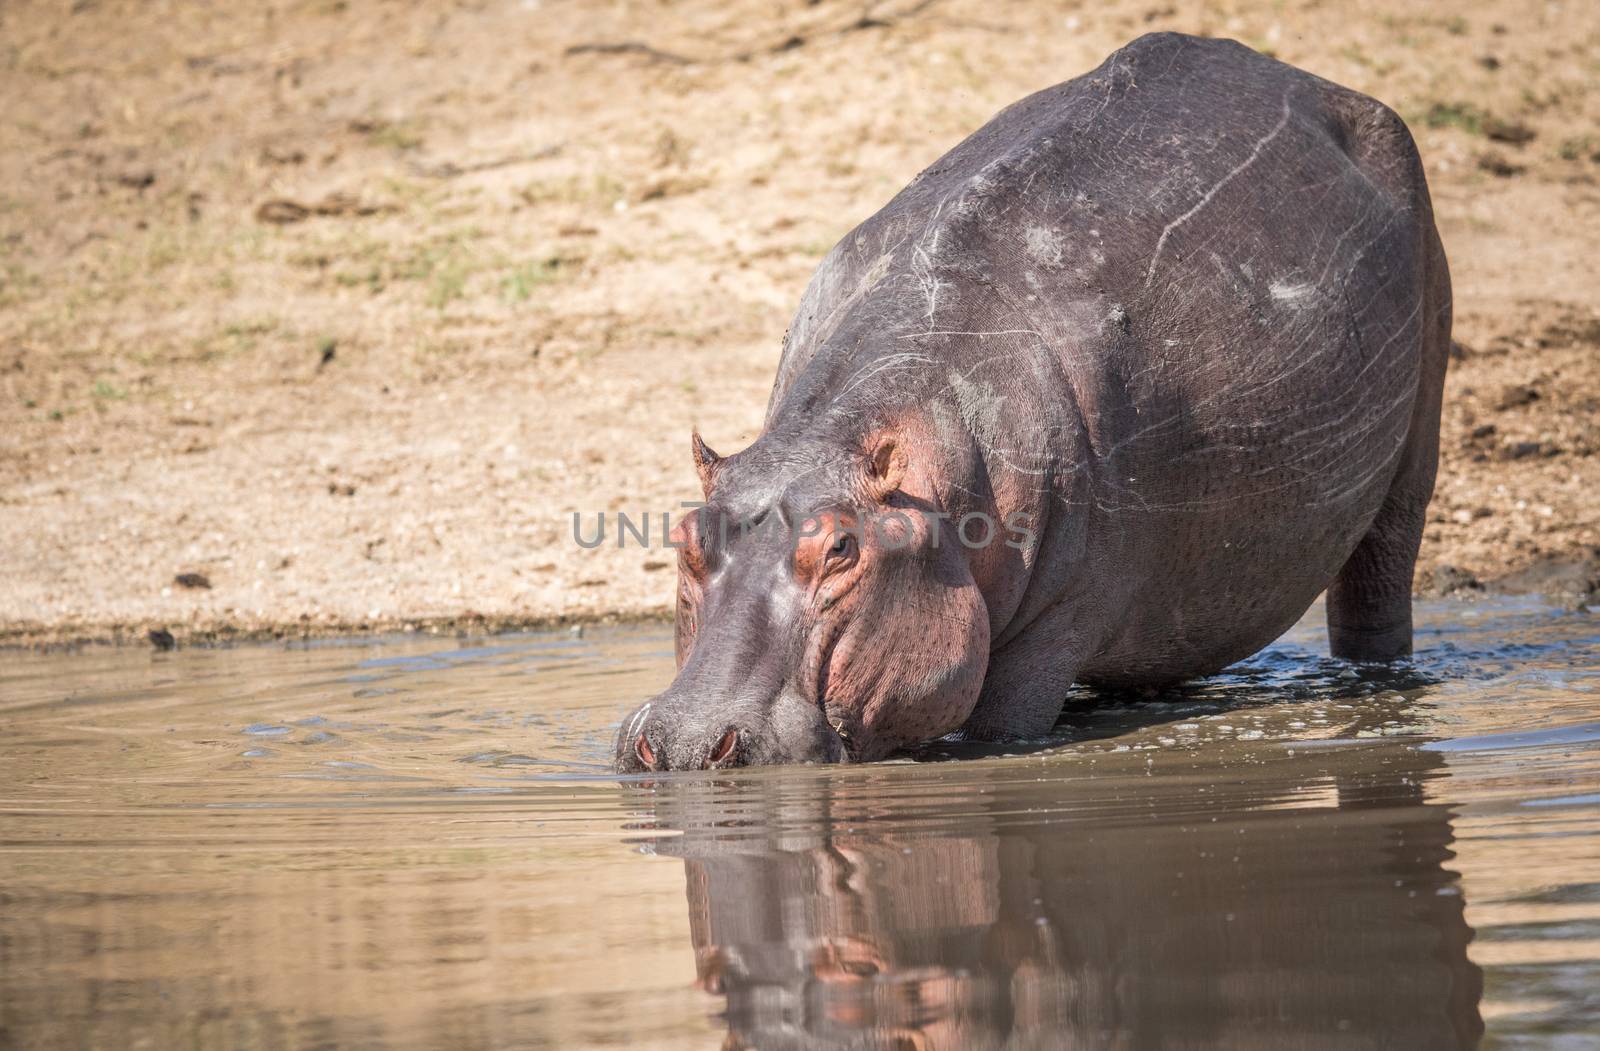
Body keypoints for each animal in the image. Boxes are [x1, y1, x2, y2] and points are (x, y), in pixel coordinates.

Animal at [611, 32, 1452, 771]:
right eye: (684, 536)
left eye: (843, 547)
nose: (686, 741)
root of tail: (1319, 82)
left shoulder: (1055, 628)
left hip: (1412, 454)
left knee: (1380, 580)